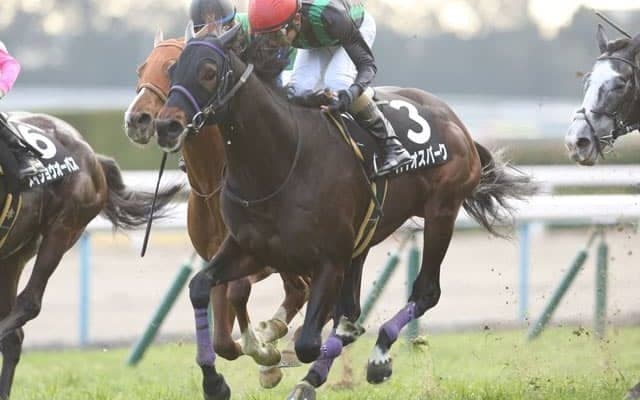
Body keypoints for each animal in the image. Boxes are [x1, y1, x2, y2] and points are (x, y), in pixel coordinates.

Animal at [123, 30, 311, 391]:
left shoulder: (259, 254)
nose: (137, 119)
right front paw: (257, 353)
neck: (214, 177)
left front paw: (265, 350)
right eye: (140, 68)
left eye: (170, 67)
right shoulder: (215, 257)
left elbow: (243, 290)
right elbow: (223, 339)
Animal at [155, 25, 535, 400]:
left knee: (426, 291)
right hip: (364, 239)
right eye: (173, 71)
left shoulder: (328, 259)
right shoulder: (249, 248)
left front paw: (280, 357)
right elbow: (200, 286)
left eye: (208, 72)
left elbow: (308, 342)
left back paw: (377, 358)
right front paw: (216, 380)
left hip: (441, 211)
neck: (279, 162)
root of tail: (458, 124)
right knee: (351, 310)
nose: (165, 126)